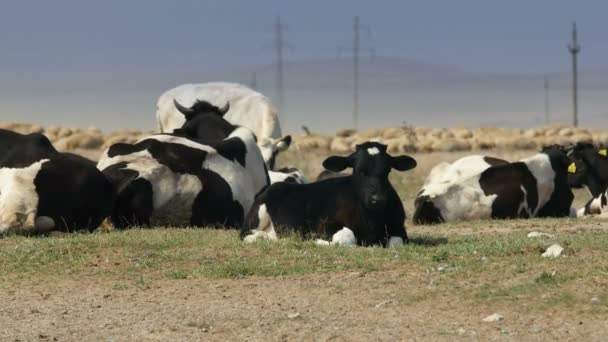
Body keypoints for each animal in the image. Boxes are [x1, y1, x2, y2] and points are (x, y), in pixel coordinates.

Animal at [239, 143, 418, 247]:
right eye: (359, 170)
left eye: (387, 171)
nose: (377, 199)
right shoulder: (323, 224)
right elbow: (346, 238)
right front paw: (316, 241)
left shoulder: (399, 228)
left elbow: (397, 243)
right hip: (258, 214)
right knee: (246, 234)